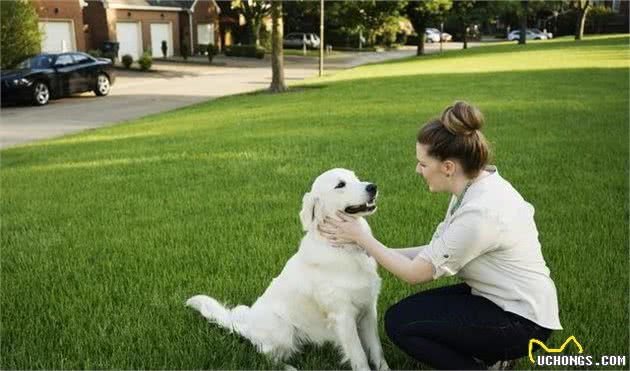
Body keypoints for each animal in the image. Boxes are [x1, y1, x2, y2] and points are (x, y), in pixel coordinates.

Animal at [186, 169, 390, 371]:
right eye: (340, 185)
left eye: (355, 178)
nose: (373, 187)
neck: (347, 249)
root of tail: (248, 326)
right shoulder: (343, 316)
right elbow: (360, 357)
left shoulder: (369, 309)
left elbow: (377, 350)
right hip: (283, 329)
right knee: (267, 356)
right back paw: (289, 367)